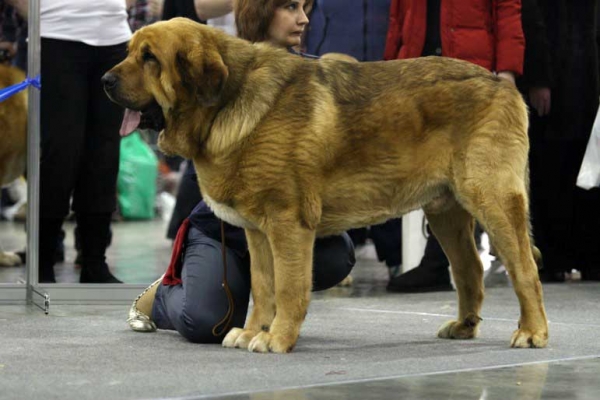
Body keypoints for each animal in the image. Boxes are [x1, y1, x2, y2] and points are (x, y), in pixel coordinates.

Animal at [103, 18, 548, 354]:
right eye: (130, 51)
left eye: (149, 58)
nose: (105, 79)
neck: (228, 99)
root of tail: (502, 83)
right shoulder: (257, 232)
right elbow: (264, 286)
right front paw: (253, 331)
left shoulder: (288, 223)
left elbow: (288, 287)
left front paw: (278, 338)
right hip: (446, 212)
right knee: (469, 267)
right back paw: (464, 326)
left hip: (491, 198)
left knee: (524, 267)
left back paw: (532, 331)